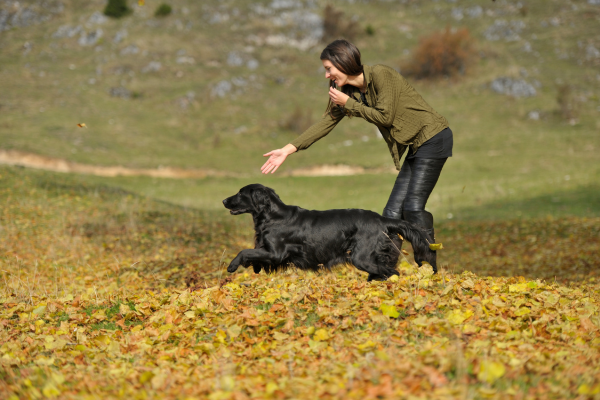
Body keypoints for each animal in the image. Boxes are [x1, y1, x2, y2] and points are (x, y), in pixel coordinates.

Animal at [220, 184, 436, 282]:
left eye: (241, 193)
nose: (223, 200)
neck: (273, 215)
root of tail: (381, 220)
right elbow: (254, 254)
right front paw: (254, 266)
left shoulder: (276, 252)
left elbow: (245, 251)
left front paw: (232, 265)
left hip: (361, 256)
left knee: (392, 273)